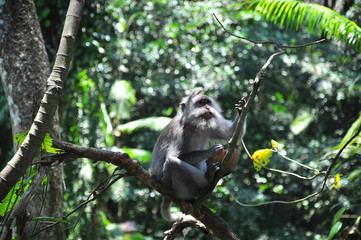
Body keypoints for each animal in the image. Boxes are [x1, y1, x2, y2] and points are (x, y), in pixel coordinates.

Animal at [149, 90, 245, 221]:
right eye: (200, 103)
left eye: (207, 102)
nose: (207, 107)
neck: (194, 125)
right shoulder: (179, 132)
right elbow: (173, 157)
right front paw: (211, 151)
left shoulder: (209, 125)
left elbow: (230, 134)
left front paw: (241, 110)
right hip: (178, 189)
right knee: (172, 163)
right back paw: (207, 180)